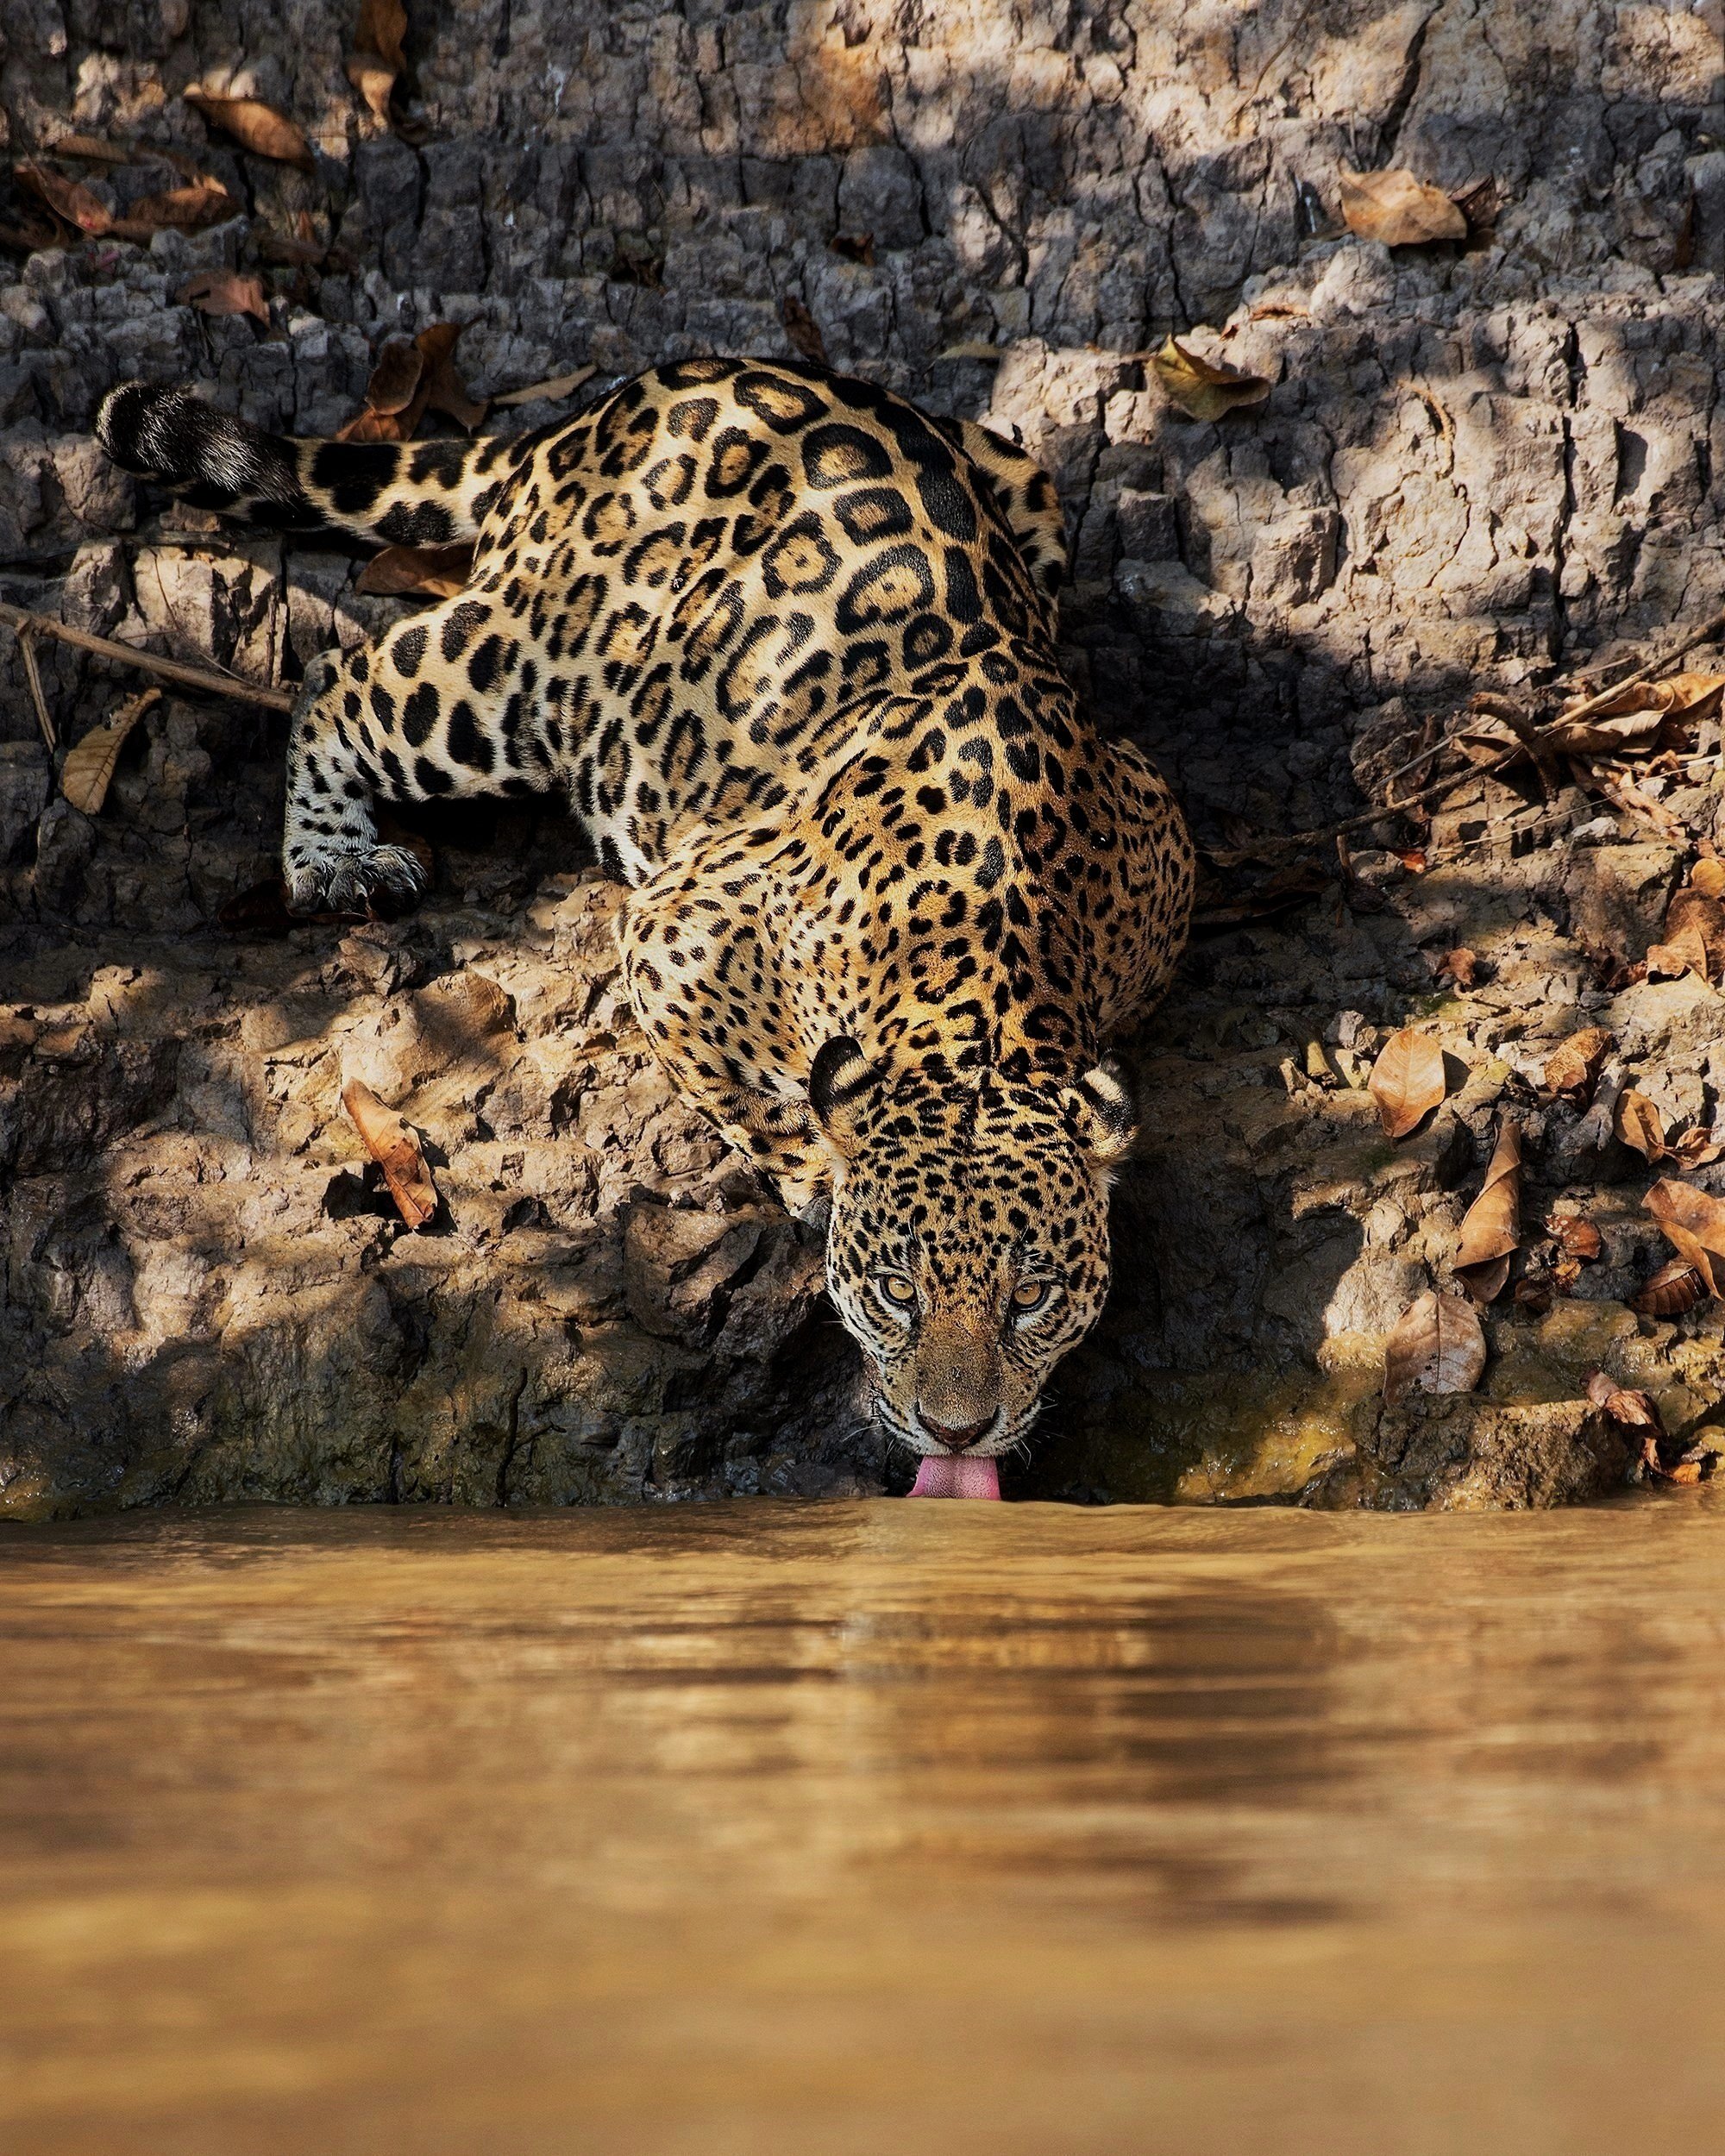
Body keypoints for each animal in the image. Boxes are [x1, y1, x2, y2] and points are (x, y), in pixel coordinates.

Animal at [96, 355, 1196, 1480]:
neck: (984, 963)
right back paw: (333, 857)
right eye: (898, 1291)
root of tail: (613, 402)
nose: (956, 1430)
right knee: (337, 675)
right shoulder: (684, 923)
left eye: (1032, 1296)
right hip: (500, 681)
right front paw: (815, 1177)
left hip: (1026, 484)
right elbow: (761, 1094)